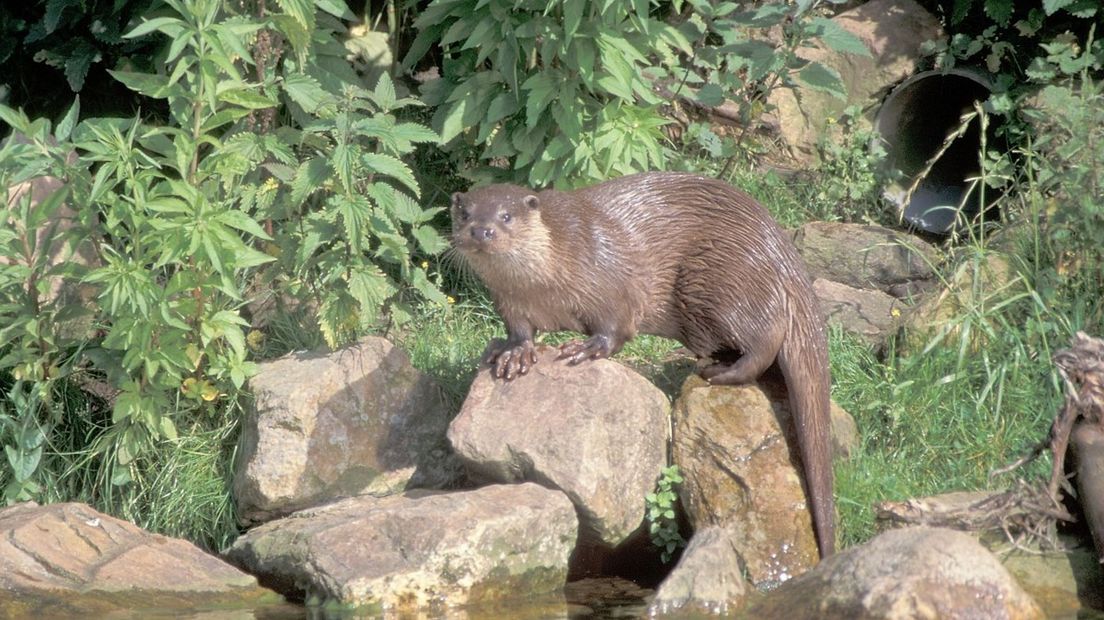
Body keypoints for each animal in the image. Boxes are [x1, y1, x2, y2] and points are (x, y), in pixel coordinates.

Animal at [448, 169, 834, 556]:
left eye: (506, 216)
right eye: (465, 214)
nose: (481, 231)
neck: (544, 281)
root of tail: (784, 254)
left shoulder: (609, 279)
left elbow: (615, 325)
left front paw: (587, 347)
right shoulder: (510, 303)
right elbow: (520, 332)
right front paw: (513, 352)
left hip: (721, 279)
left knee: (765, 338)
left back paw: (719, 372)